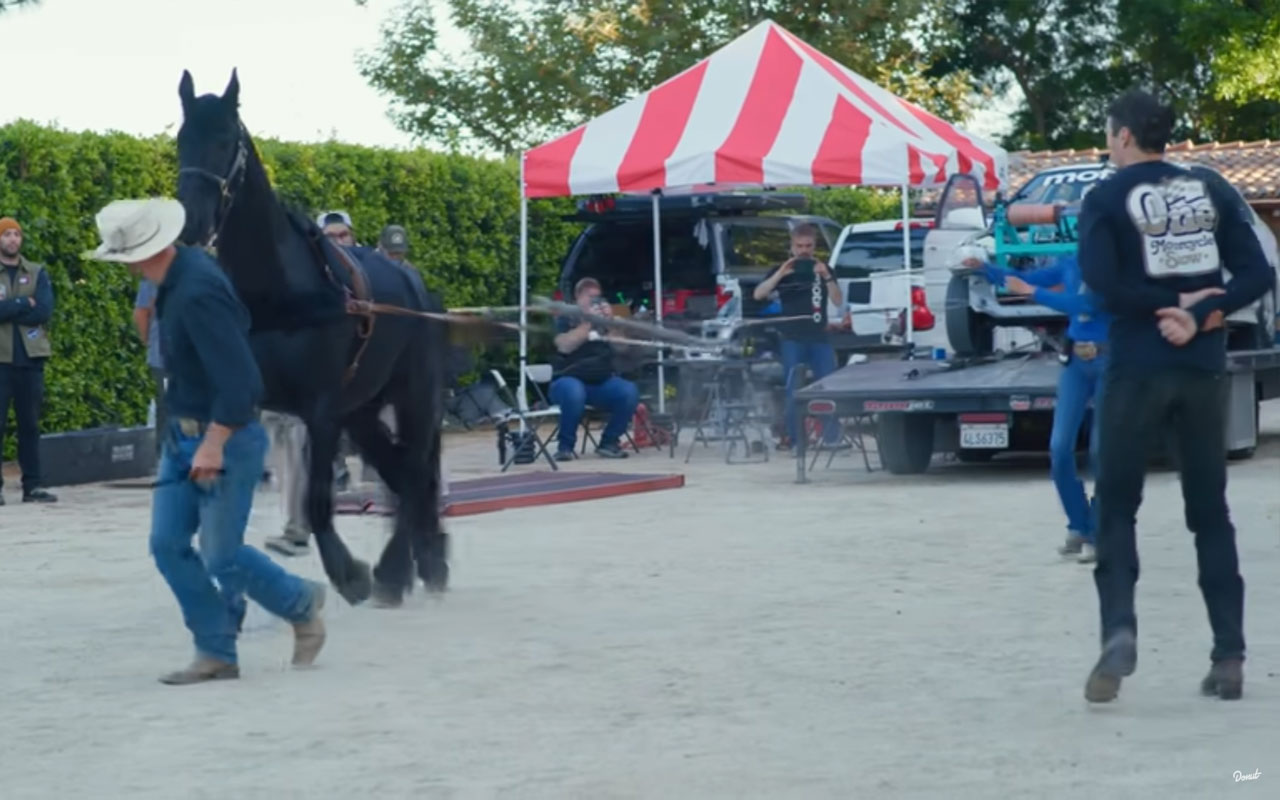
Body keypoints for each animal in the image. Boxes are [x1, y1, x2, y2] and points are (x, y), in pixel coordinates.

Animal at [174, 69, 449, 609]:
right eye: (181, 140)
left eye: (225, 140)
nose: (191, 221)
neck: (276, 291)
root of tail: (415, 287)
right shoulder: (241, 404)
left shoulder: (320, 412)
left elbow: (318, 499)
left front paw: (348, 574)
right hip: (361, 411)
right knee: (399, 474)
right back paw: (415, 565)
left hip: (412, 396)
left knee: (412, 475)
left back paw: (397, 570)